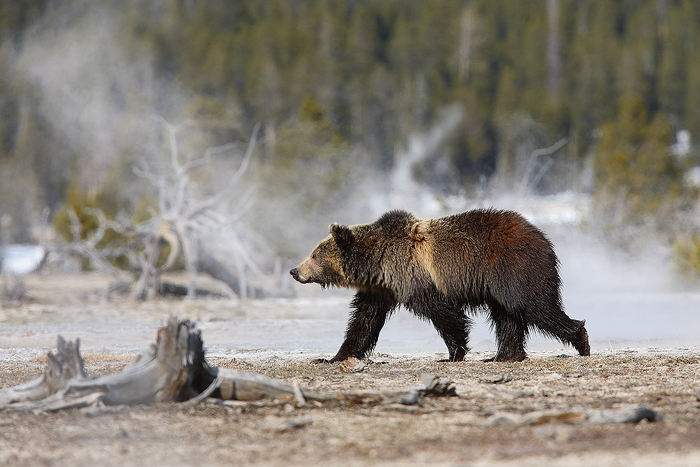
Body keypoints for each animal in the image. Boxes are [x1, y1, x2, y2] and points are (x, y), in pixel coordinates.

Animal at [290, 209, 590, 363]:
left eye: (314, 254)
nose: (294, 270)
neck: (379, 261)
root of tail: (544, 238)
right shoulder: (381, 289)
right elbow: (364, 321)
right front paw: (335, 356)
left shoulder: (415, 276)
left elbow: (442, 313)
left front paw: (454, 352)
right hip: (499, 286)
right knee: (507, 317)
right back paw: (504, 355)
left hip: (514, 269)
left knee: (537, 307)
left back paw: (581, 339)